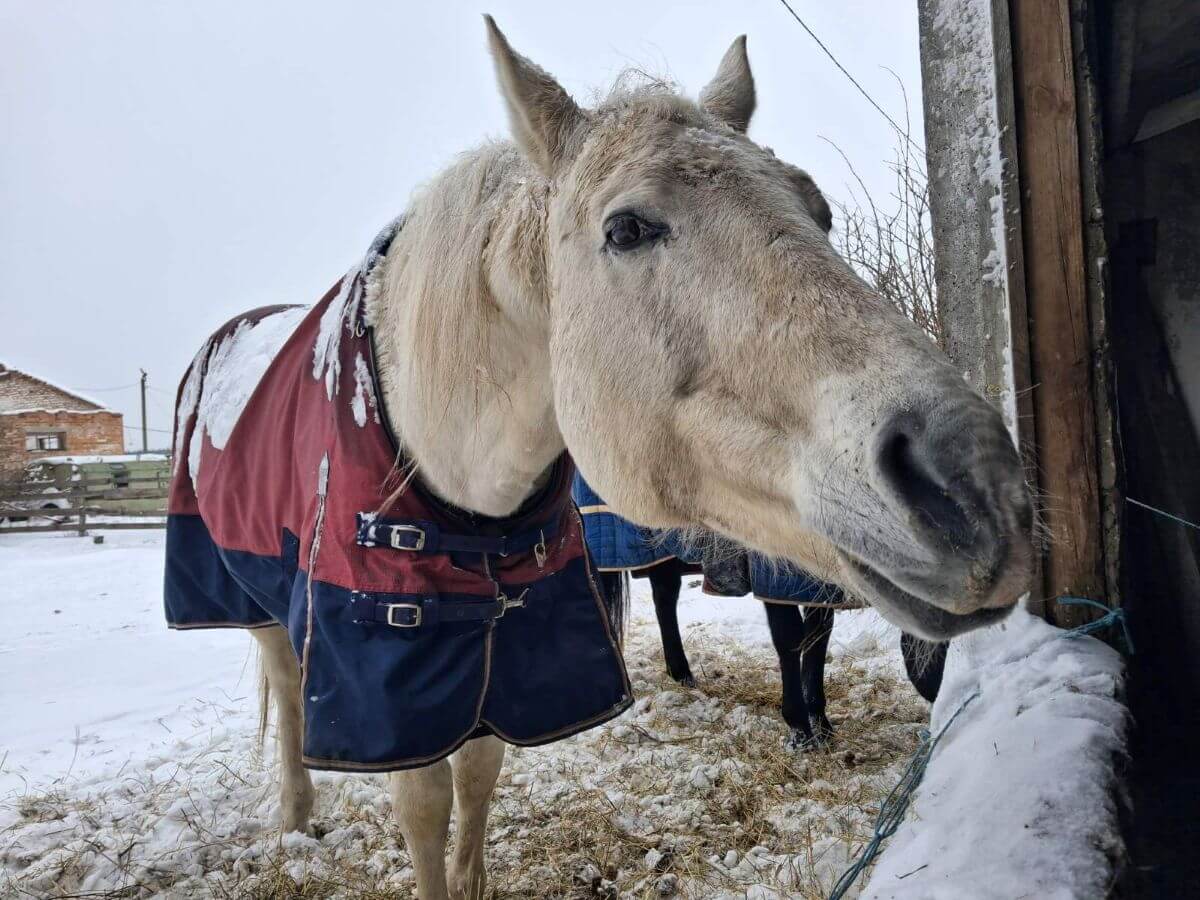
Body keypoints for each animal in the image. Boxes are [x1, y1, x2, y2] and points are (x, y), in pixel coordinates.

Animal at [166, 18, 1033, 899]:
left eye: (816, 209)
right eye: (626, 229)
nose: (974, 485)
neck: (455, 487)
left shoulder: (505, 662)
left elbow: (478, 779)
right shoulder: (393, 685)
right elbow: (426, 809)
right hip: (246, 596)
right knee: (286, 687)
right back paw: (297, 816)